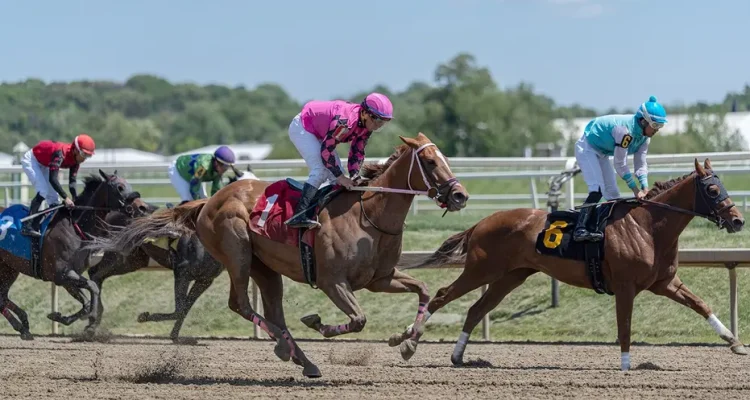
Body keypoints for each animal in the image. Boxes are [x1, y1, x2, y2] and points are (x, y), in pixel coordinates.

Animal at [0, 170, 138, 339]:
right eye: (119, 187)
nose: (136, 206)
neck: (76, 226)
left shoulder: (68, 277)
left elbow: (88, 299)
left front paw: (62, 317)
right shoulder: (61, 274)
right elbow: (93, 286)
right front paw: (90, 319)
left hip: (9, 268)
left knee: (2, 297)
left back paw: (24, 324)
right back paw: (21, 326)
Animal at [85, 132, 469, 377]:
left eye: (447, 159)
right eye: (430, 162)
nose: (460, 195)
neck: (368, 216)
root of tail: (208, 201)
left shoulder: (381, 278)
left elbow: (423, 290)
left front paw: (405, 342)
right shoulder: (333, 281)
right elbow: (359, 319)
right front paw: (318, 323)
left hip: (265, 268)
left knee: (272, 312)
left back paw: (303, 360)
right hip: (237, 254)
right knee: (240, 304)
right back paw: (287, 350)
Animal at [388, 158, 746, 371]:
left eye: (724, 186)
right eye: (713, 188)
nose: (738, 220)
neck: (647, 225)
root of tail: (481, 222)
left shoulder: (665, 282)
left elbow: (701, 304)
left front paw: (735, 343)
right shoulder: (626, 287)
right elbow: (625, 326)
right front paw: (626, 366)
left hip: (510, 276)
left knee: (476, 309)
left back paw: (458, 356)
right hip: (481, 269)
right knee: (442, 295)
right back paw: (408, 342)